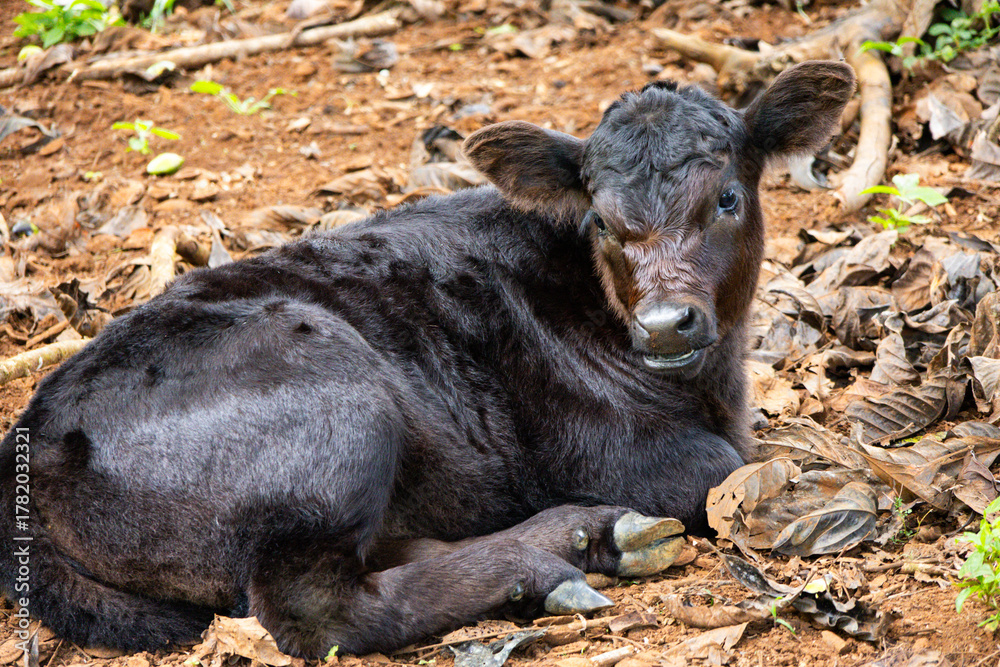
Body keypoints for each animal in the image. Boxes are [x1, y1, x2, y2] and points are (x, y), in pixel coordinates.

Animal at [0, 61, 855, 658]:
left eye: (727, 199)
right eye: (603, 223)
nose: (666, 326)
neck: (714, 387)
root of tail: (31, 434)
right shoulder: (611, 452)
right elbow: (726, 470)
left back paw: (577, 540)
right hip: (335, 399)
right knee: (319, 609)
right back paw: (572, 547)